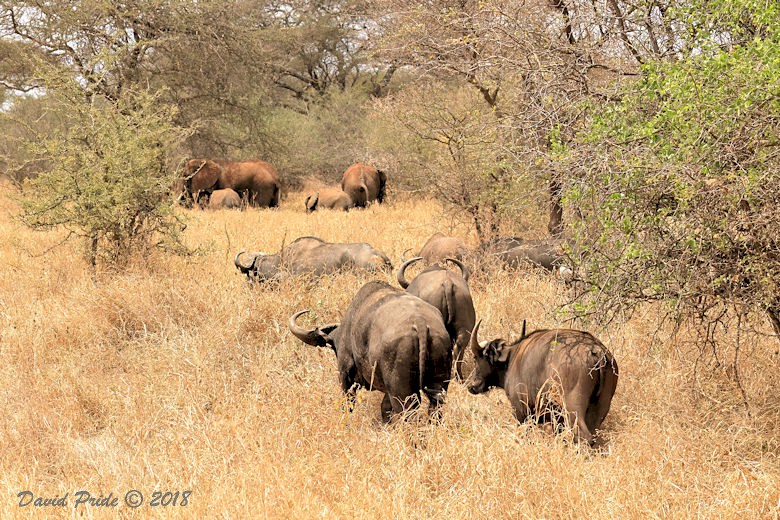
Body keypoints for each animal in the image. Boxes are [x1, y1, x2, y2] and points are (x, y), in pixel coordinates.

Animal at [466, 318, 620, 444]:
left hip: (572, 408)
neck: (511, 358)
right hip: (601, 408)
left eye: (475, 358)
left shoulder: (522, 412)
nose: (470, 385)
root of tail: (596, 350)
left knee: (583, 436)